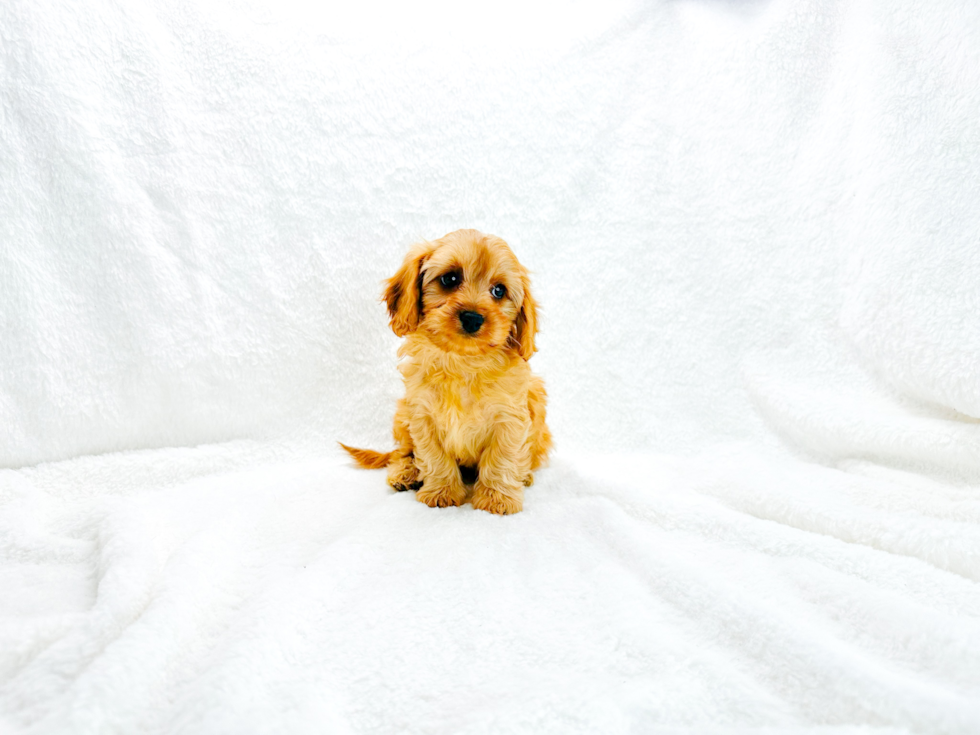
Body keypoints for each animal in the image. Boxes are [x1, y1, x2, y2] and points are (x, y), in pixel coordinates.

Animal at [340, 227, 548, 516]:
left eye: (499, 290)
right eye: (450, 278)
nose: (473, 318)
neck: (463, 362)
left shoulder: (510, 418)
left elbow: (502, 457)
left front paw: (497, 498)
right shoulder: (421, 415)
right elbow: (433, 457)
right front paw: (442, 492)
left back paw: (525, 475)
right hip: (402, 415)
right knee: (402, 453)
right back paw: (405, 474)